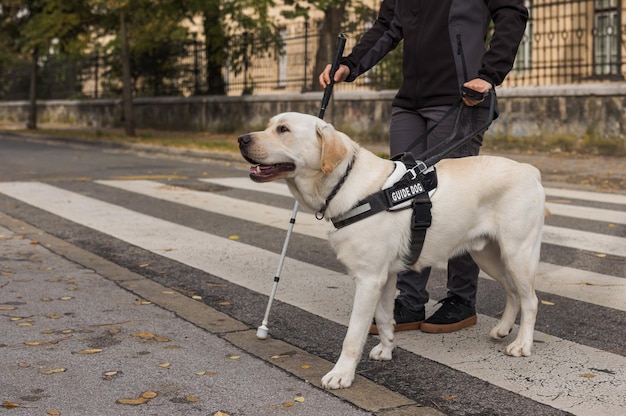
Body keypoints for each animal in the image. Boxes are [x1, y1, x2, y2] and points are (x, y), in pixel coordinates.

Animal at [236, 111, 544, 390]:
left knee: (530, 300)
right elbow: (385, 318)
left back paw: (522, 345)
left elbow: (353, 335)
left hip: (518, 253)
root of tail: (530, 170)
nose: (241, 139)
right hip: (487, 254)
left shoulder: (368, 279)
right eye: (269, 125)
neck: (345, 184)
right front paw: (386, 349)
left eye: (284, 129)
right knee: (513, 292)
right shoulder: (385, 276)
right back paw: (502, 329)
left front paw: (341, 374)